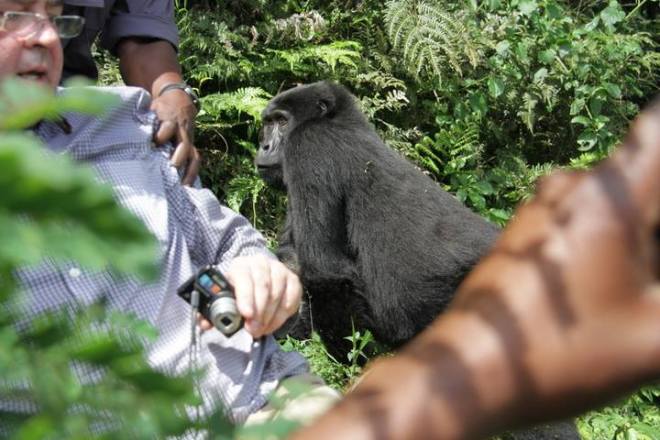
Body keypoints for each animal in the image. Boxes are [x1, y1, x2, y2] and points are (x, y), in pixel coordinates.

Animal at [255, 80, 498, 360]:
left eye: (282, 122)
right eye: (268, 123)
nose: (264, 147)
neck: (339, 120)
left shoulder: (309, 146)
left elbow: (325, 271)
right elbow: (290, 260)